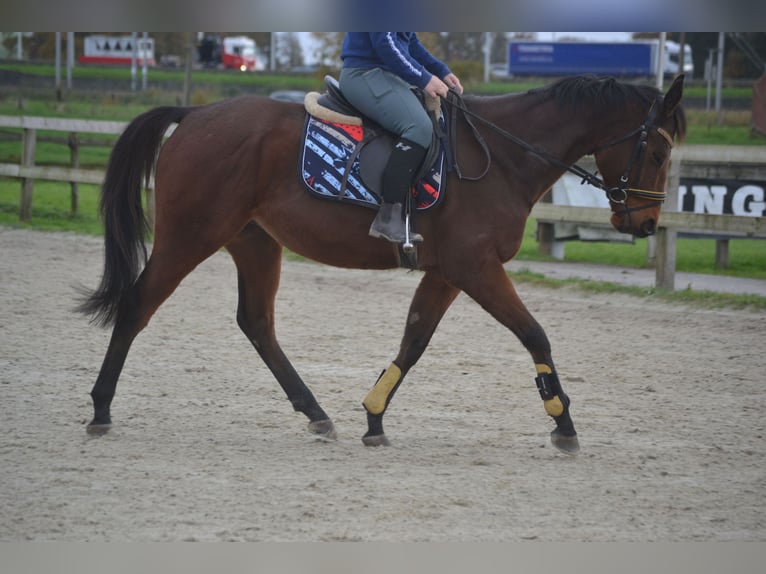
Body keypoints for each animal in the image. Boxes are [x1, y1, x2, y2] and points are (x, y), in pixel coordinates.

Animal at [79, 75, 688, 454]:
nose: (644, 224)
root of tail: (195, 114)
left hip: (254, 242)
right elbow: (534, 334)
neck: (502, 155)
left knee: (257, 323)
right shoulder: (476, 267)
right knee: (137, 306)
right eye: (658, 153)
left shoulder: (448, 272)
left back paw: (315, 412)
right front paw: (562, 419)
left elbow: (414, 340)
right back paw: (101, 409)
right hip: (191, 236)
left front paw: (373, 416)